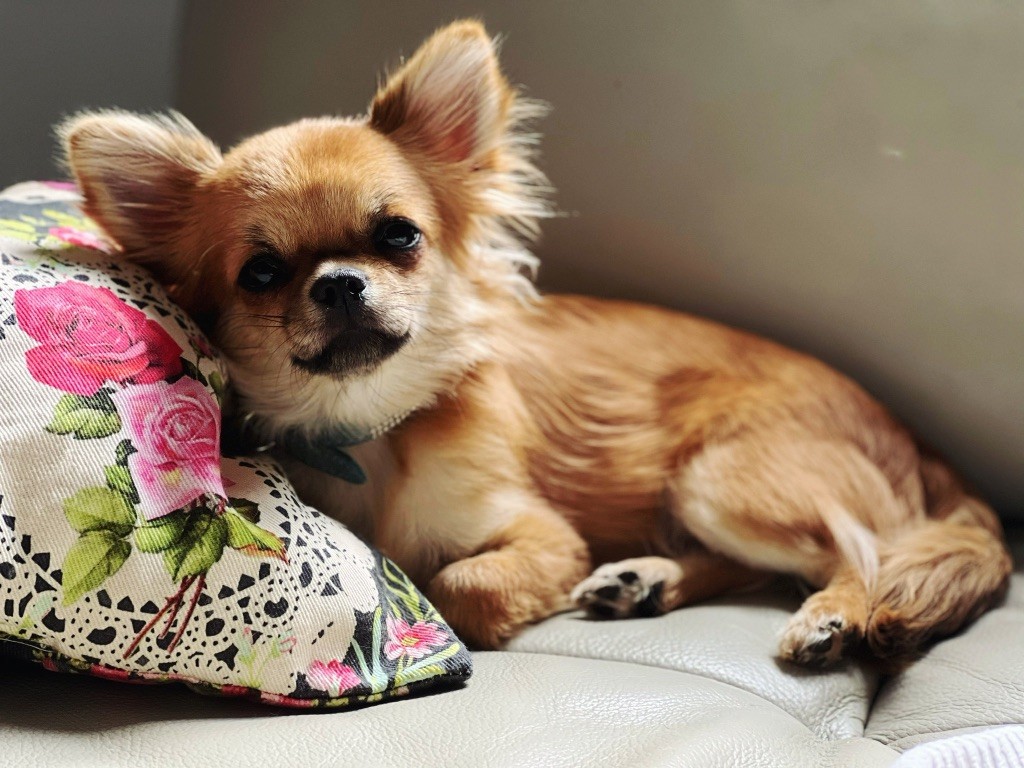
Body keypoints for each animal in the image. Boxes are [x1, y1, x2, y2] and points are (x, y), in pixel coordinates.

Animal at [59, 20, 1011, 665]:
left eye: (399, 236)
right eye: (259, 273)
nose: (337, 283)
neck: (371, 431)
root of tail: (916, 443)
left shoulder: (540, 531)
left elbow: (462, 583)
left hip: (721, 478)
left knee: (869, 553)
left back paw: (830, 616)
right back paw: (645, 580)